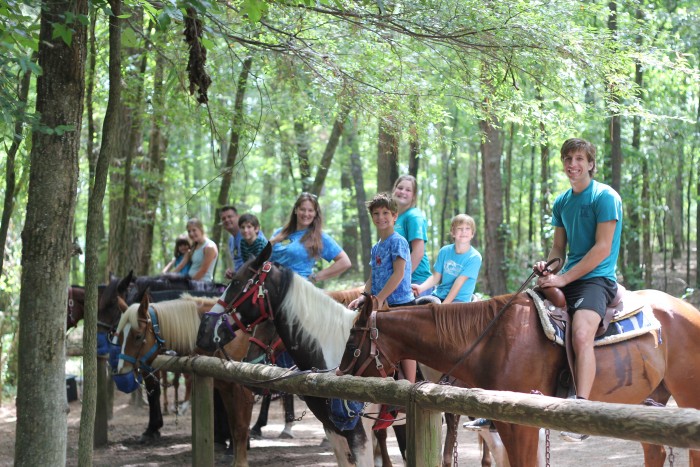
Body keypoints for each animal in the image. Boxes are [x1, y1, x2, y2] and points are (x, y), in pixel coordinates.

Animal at [113, 294, 256, 466]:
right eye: (120, 337)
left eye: (138, 336)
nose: (121, 377)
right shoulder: (224, 386)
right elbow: (232, 420)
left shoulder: (243, 388)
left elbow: (240, 424)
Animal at [338, 290, 700, 466]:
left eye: (353, 343)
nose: (340, 380)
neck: (492, 339)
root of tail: (689, 310)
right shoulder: (507, 423)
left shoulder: (524, 424)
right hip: (648, 400)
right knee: (655, 451)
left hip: (688, 394)